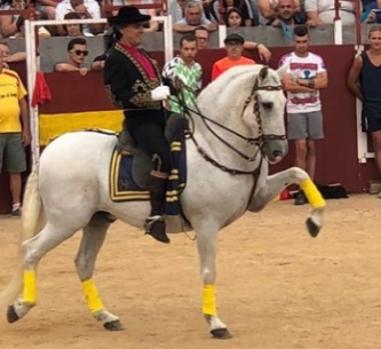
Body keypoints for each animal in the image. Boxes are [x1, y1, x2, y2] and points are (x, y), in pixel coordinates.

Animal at [1, 64, 326, 338]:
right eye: (267, 104)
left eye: (285, 101)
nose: (277, 151)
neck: (214, 146)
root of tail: (51, 150)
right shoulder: (206, 224)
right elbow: (209, 270)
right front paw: (215, 322)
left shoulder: (257, 199)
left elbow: (299, 173)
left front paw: (314, 222)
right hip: (65, 221)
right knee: (31, 250)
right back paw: (19, 307)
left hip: (97, 220)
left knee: (83, 262)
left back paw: (106, 316)